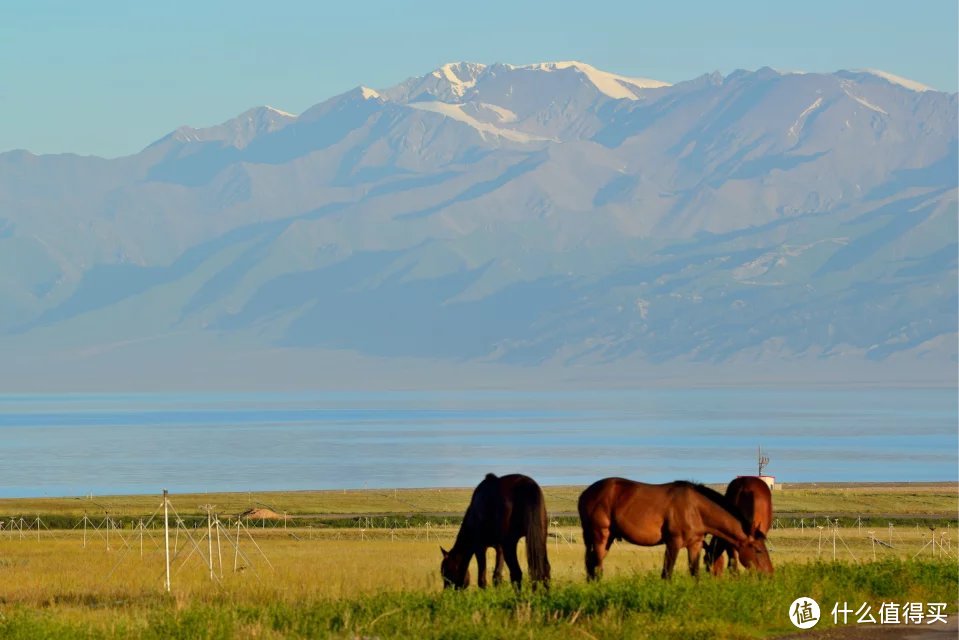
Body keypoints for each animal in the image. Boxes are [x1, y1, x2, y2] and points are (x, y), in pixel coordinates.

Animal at [576, 478, 772, 584]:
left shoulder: (695, 544)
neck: (694, 508)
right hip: (600, 535)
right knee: (596, 567)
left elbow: (695, 573)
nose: (770, 573)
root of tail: (586, 493)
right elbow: (667, 574)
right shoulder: (673, 543)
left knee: (592, 566)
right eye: (758, 550)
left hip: (606, 538)